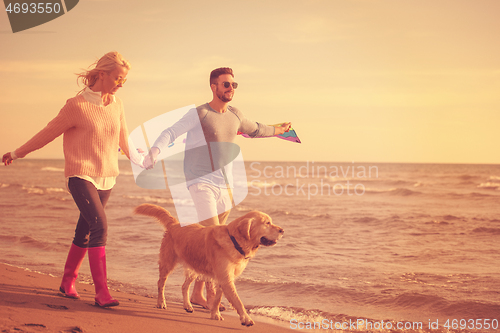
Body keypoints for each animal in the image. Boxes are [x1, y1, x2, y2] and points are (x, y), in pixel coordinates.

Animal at [133, 202, 284, 324]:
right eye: (267, 223)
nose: (282, 230)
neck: (234, 241)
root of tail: (175, 223)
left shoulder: (223, 278)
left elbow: (217, 299)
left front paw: (215, 314)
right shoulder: (226, 279)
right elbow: (238, 301)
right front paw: (246, 319)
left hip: (195, 267)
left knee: (184, 286)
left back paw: (188, 306)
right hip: (168, 263)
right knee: (161, 283)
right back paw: (161, 303)